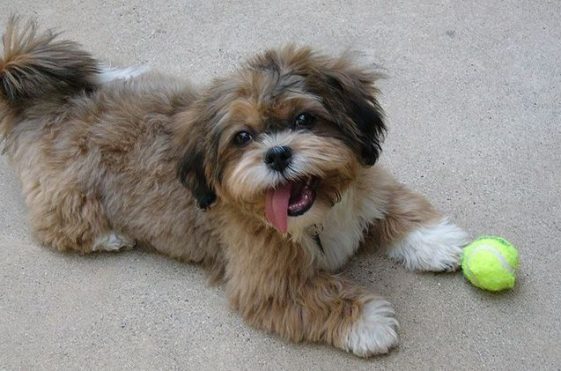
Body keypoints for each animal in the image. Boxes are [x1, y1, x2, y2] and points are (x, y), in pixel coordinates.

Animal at [0, 18, 468, 358]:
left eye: (304, 119)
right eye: (242, 138)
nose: (277, 154)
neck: (317, 217)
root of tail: (46, 107)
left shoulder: (368, 191)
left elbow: (398, 207)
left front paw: (434, 240)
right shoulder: (266, 283)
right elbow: (320, 295)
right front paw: (367, 320)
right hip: (69, 196)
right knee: (56, 226)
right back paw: (110, 236)